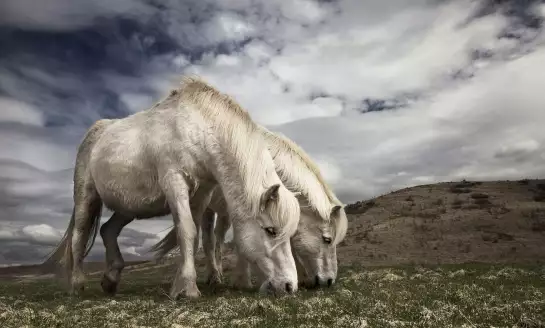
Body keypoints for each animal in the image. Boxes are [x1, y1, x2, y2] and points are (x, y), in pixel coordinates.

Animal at [41, 76, 300, 298]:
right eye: (271, 230)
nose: (290, 286)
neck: (196, 128)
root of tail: (95, 132)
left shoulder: (201, 195)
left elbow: (193, 237)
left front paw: (182, 284)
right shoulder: (175, 182)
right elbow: (186, 230)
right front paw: (189, 289)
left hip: (128, 208)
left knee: (108, 230)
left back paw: (111, 280)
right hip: (86, 197)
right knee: (79, 235)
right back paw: (77, 284)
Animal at [150, 125, 348, 290]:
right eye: (327, 240)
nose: (329, 281)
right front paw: (243, 281)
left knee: (219, 239)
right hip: (208, 209)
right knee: (208, 240)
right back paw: (213, 277)